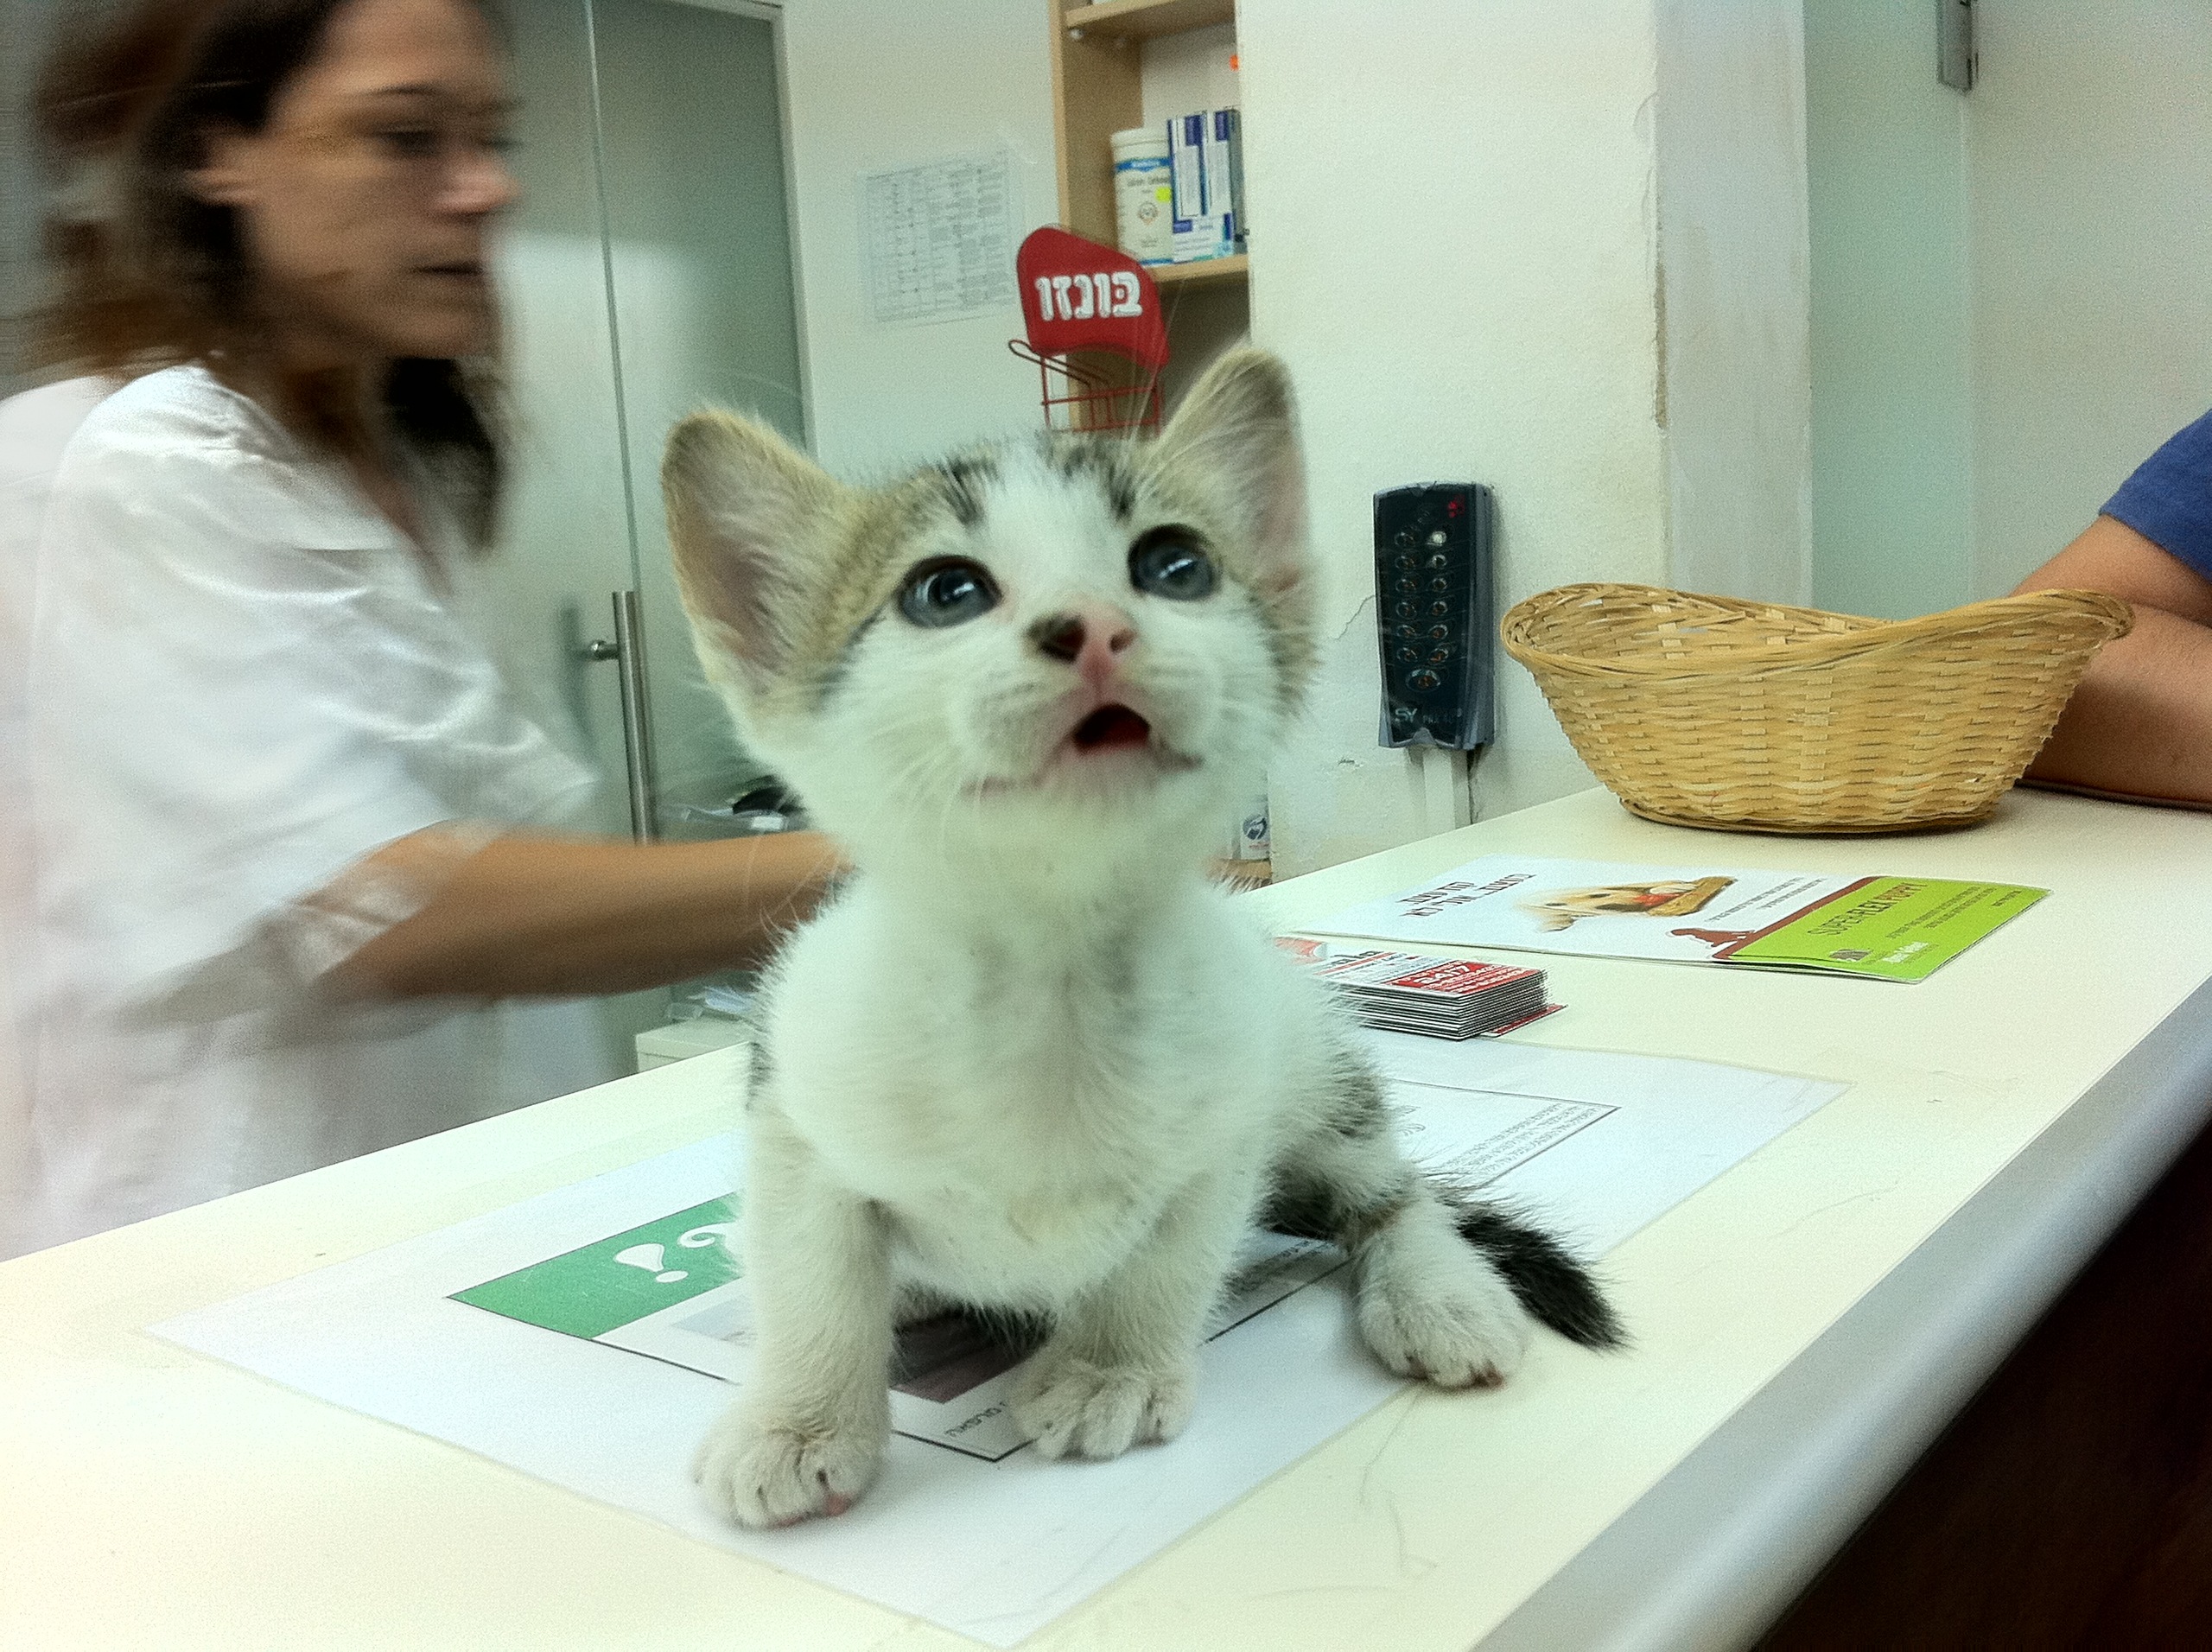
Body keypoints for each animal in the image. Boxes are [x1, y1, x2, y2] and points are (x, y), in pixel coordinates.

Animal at [662, 348, 1622, 1530]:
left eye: (1175, 565)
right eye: (945, 591)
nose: (1092, 624)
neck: (1047, 972)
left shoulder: (1224, 1117)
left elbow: (1171, 1251)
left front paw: (1107, 1366)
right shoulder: (796, 1103)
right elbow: (809, 1272)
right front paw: (797, 1420)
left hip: (1315, 1061)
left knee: (1391, 1195)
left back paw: (1437, 1293)